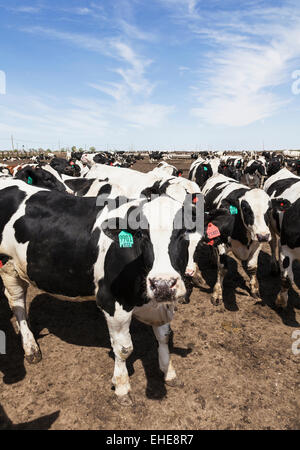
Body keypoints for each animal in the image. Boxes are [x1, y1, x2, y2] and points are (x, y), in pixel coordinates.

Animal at [0, 178, 202, 404]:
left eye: (184, 232)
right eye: (141, 234)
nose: (163, 283)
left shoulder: (162, 303)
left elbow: (164, 336)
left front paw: (169, 372)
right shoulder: (112, 302)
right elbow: (124, 348)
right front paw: (122, 387)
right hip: (8, 265)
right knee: (17, 303)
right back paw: (30, 346)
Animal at [202, 174, 284, 304]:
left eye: (269, 209)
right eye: (245, 209)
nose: (263, 236)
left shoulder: (257, 244)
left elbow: (252, 267)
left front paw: (254, 289)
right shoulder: (221, 244)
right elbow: (222, 269)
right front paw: (217, 293)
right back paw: (213, 260)